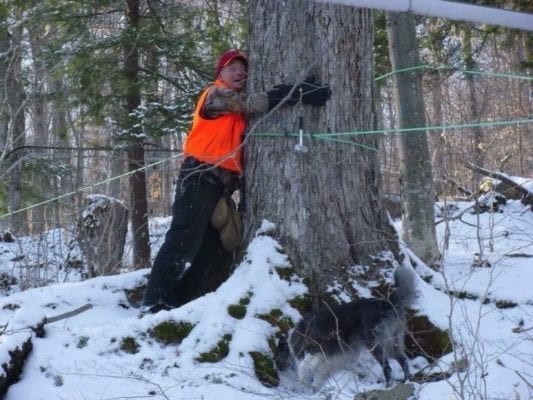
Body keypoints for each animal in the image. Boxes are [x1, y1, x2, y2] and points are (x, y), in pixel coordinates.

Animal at [276, 266, 418, 390]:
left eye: (279, 352)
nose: (278, 367)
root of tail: (386, 304)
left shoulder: (318, 349)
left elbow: (305, 367)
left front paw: (305, 381)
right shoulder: (332, 358)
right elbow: (319, 375)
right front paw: (315, 388)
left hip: (375, 344)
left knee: (387, 367)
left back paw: (388, 387)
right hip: (393, 341)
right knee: (403, 360)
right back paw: (406, 381)